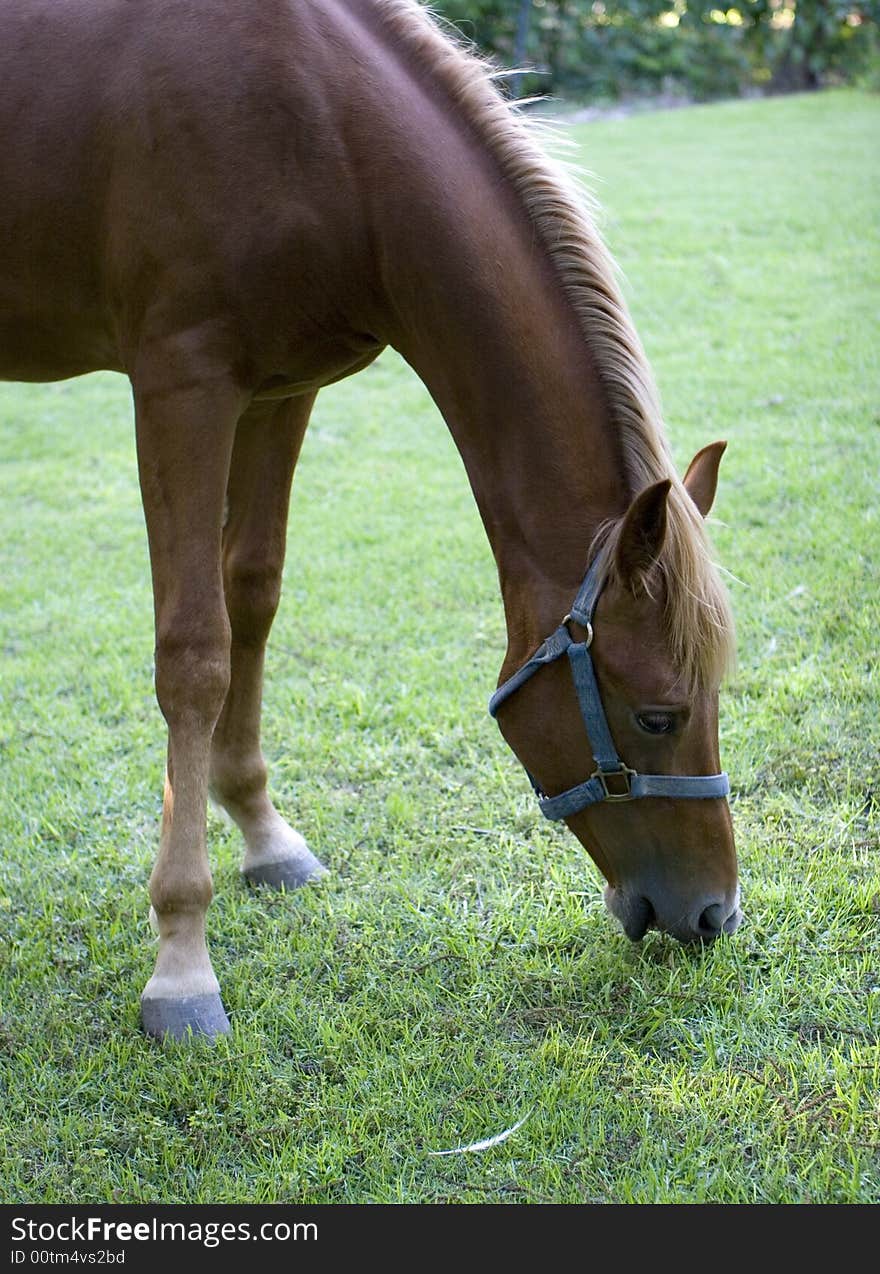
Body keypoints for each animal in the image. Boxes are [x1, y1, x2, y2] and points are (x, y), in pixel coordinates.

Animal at [0, 0, 743, 1039]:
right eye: (659, 715)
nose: (715, 913)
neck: (325, 135)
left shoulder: (278, 390)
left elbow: (252, 594)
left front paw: (263, 834)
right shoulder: (183, 385)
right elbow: (193, 653)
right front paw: (182, 960)